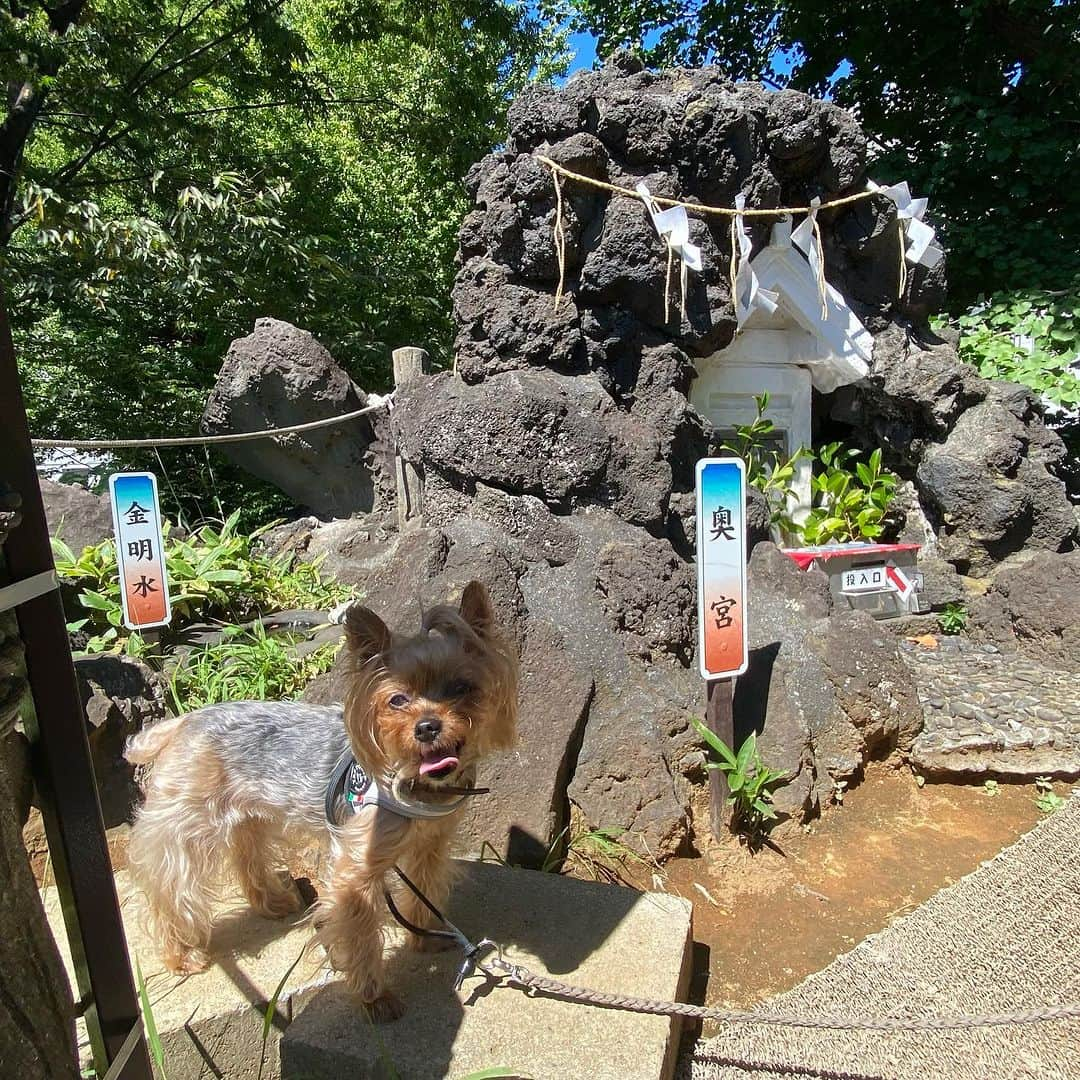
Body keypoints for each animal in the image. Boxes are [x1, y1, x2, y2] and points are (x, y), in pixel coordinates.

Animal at [124, 578, 516, 1015]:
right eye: (397, 700)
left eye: (462, 688)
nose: (428, 727)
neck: (414, 784)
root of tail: (185, 721)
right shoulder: (354, 868)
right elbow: (359, 931)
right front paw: (375, 996)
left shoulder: (430, 845)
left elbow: (424, 889)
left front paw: (424, 937)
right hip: (185, 820)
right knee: (170, 887)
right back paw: (182, 955)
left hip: (245, 814)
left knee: (246, 853)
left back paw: (273, 902)